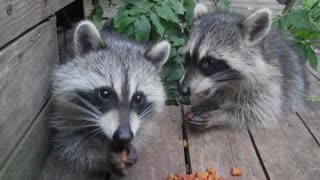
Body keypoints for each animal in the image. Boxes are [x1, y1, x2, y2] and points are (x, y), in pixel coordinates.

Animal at [50, 21, 170, 177]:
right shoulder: (64, 110)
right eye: (105, 94)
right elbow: (72, 142)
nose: (124, 136)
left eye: (138, 98)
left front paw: (131, 145)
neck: (118, 42)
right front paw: (102, 158)